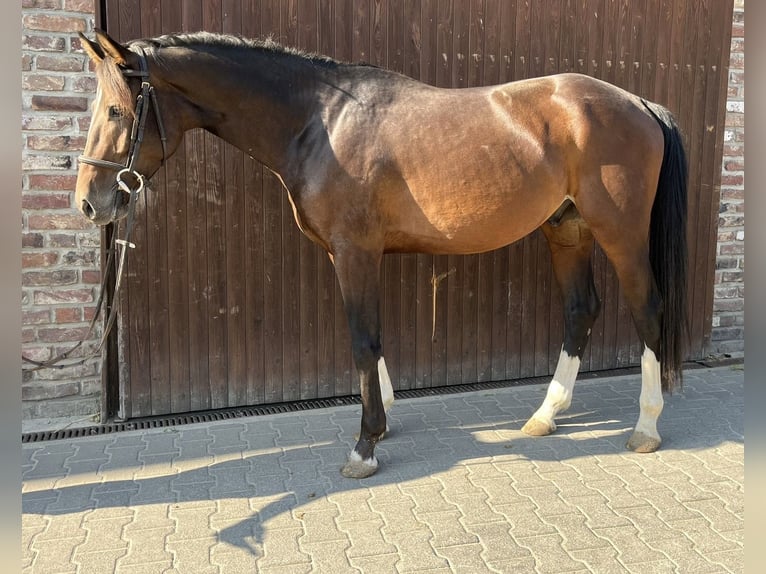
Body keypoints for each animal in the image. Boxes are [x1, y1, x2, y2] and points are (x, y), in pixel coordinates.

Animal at [78, 30, 688, 482]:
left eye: (115, 112)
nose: (89, 202)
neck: (319, 121)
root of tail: (639, 103)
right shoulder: (350, 255)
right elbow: (372, 337)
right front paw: (385, 417)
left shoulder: (355, 252)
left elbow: (362, 339)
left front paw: (365, 444)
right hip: (567, 230)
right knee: (581, 310)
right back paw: (544, 416)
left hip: (619, 232)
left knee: (648, 309)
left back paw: (646, 428)